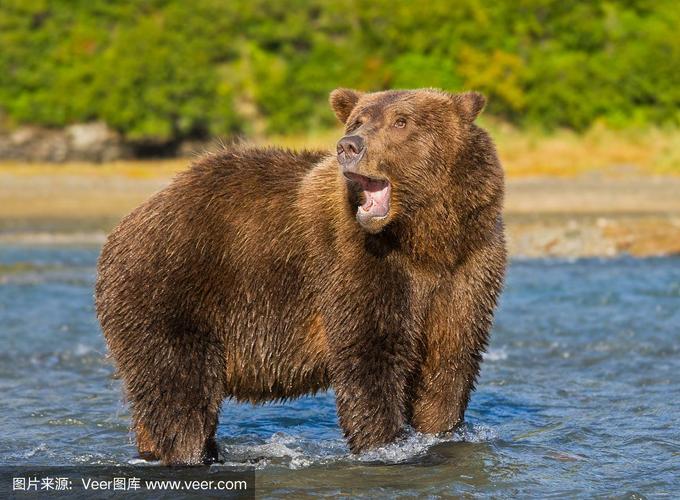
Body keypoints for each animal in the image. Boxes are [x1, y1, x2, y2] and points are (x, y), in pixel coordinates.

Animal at [97, 87, 510, 464]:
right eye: (357, 121)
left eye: (401, 121)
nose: (349, 146)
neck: (422, 239)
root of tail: (128, 223)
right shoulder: (356, 265)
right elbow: (371, 357)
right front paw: (385, 444)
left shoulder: (469, 265)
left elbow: (449, 361)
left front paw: (438, 433)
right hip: (171, 291)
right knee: (181, 392)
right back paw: (190, 453)